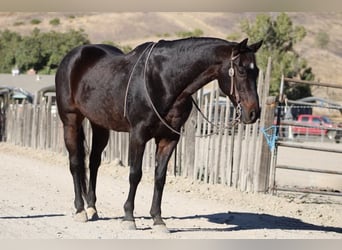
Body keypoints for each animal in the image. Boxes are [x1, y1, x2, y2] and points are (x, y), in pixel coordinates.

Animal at [56, 36, 264, 231]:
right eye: (242, 70)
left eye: (257, 72)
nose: (253, 113)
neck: (163, 79)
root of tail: (72, 57)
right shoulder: (138, 135)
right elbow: (135, 174)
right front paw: (129, 217)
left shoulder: (169, 138)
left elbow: (160, 177)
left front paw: (158, 219)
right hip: (70, 122)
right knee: (75, 163)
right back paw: (80, 210)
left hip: (99, 124)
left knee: (94, 162)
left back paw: (92, 207)